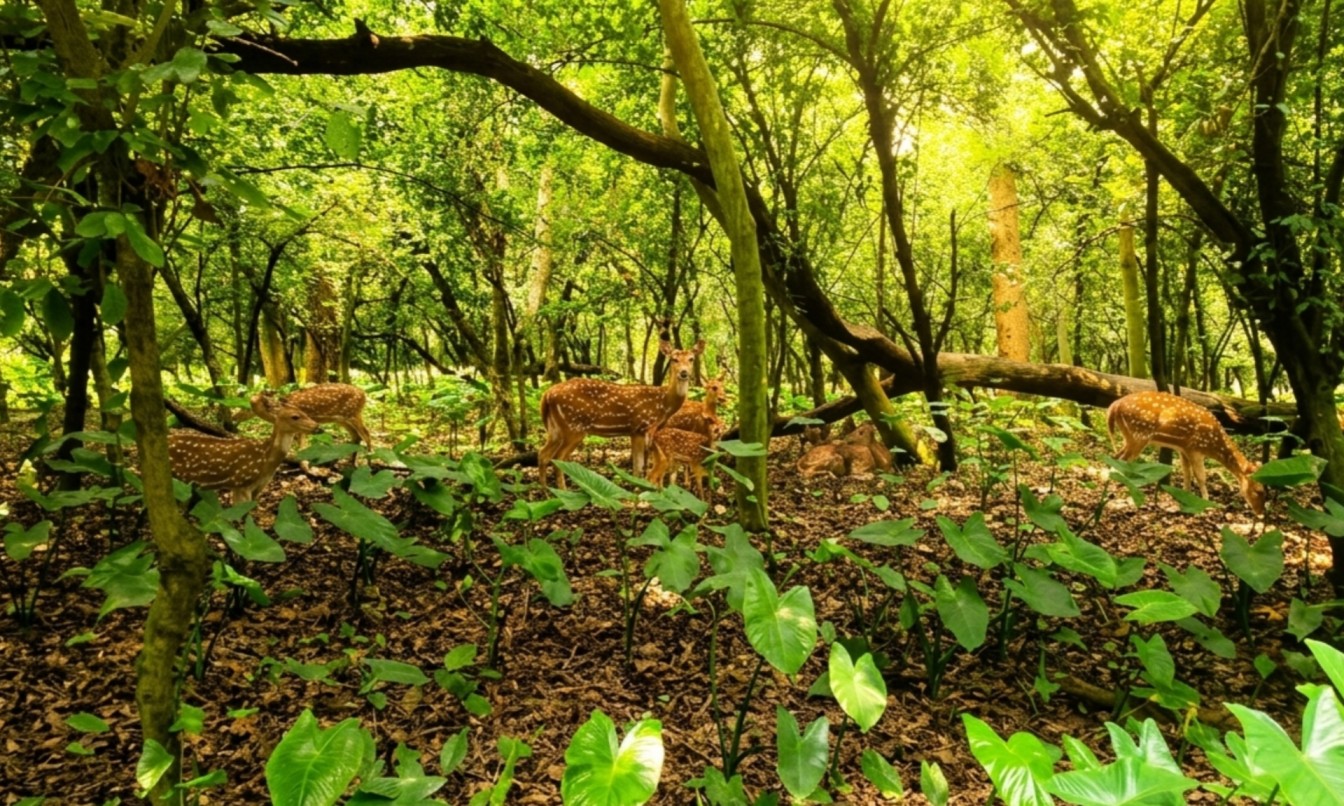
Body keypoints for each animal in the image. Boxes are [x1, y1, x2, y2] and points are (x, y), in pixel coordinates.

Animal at [169, 394, 320, 502]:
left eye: (305, 412)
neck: (265, 461)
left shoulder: (258, 487)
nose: (317, 427)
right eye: (295, 416)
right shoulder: (241, 482)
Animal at [238, 383, 373, 460]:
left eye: (247, 409)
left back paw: (369, 460)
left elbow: (301, 445)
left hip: (354, 413)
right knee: (356, 436)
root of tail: (364, 395)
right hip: (341, 419)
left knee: (366, 434)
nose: (236, 416)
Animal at [537, 338, 706, 489]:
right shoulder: (640, 427)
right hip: (573, 427)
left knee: (543, 454)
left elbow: (640, 465)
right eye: (674, 359)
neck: (664, 405)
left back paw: (547, 493)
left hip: (554, 429)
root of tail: (547, 394)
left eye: (691, 359)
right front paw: (639, 492)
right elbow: (638, 467)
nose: (684, 373)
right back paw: (562, 492)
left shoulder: (637, 431)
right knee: (558, 458)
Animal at [1106, 390, 1266, 517]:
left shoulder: (1183, 449)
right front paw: (1207, 504)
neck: (1212, 444)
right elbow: (1201, 477)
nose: (1260, 513)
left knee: (1114, 457)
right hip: (1140, 433)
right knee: (1123, 461)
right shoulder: (1195, 449)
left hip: (1130, 436)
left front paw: (1185, 498)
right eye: (1259, 491)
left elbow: (1187, 474)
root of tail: (1115, 405)